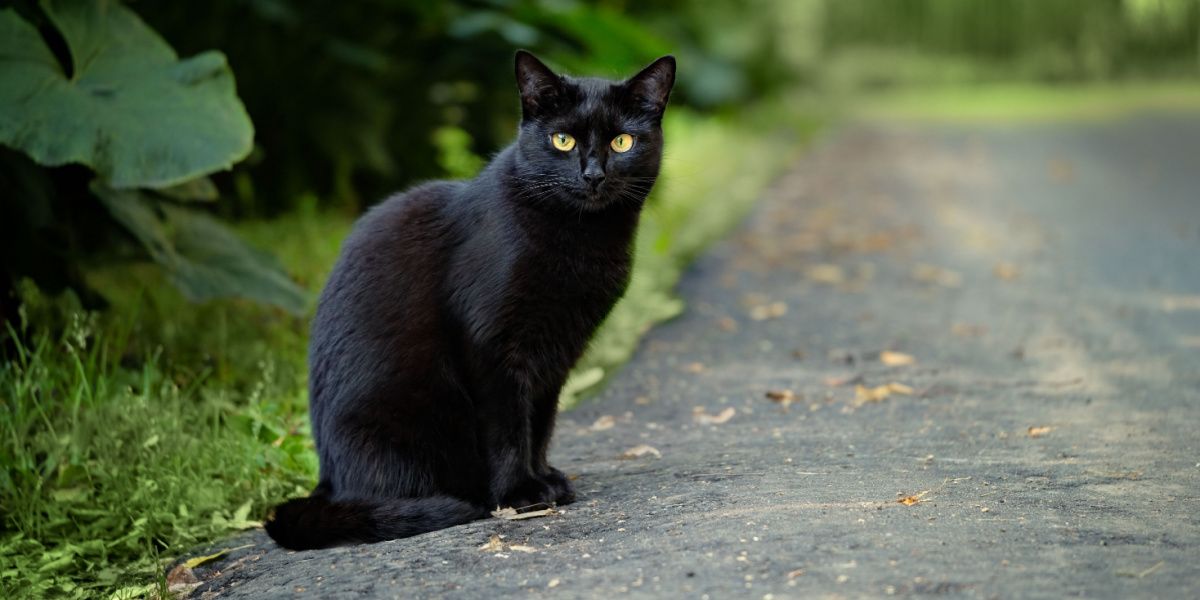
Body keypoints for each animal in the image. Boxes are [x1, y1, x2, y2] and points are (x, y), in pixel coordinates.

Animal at [265, 51, 676, 549]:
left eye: (622, 142)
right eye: (562, 141)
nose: (593, 174)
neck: (582, 239)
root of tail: (327, 481)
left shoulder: (556, 351)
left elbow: (540, 421)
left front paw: (543, 477)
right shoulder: (490, 344)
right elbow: (508, 426)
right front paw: (520, 493)